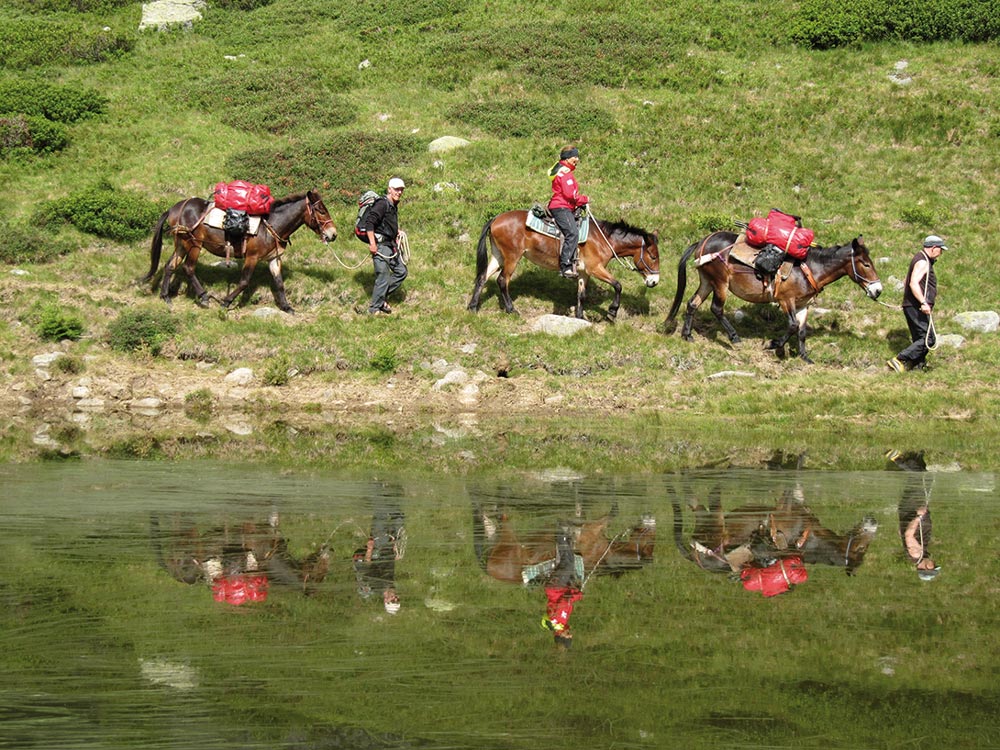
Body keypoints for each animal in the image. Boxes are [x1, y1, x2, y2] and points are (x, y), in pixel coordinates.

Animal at [142, 192, 336, 316]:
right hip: (194, 245)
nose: (333, 234)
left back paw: (166, 296)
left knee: (170, 266)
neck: (270, 226)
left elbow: (279, 283)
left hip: (182, 245)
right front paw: (226, 302)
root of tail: (174, 208)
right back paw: (204, 297)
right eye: (321, 210)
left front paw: (287, 307)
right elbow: (244, 282)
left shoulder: (274, 259)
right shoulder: (252, 257)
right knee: (188, 268)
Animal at [470, 210, 664, 322]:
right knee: (503, 280)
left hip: (498, 255)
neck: (603, 239)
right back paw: (511, 310)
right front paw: (612, 312)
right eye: (653, 256)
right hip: (512, 257)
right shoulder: (595, 268)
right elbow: (618, 285)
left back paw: (472, 306)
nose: (654, 281)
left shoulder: (584, 272)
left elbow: (582, 295)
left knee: (482, 277)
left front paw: (580, 317)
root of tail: (495, 219)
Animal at [668, 234, 880, 366]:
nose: (878, 290)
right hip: (720, 283)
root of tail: (703, 241)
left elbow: (802, 331)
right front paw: (774, 345)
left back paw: (687, 335)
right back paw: (734, 337)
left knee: (692, 303)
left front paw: (804, 357)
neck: (810, 268)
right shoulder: (787, 300)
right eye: (866, 264)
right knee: (716, 309)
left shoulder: (803, 305)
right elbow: (793, 326)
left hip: (707, 281)